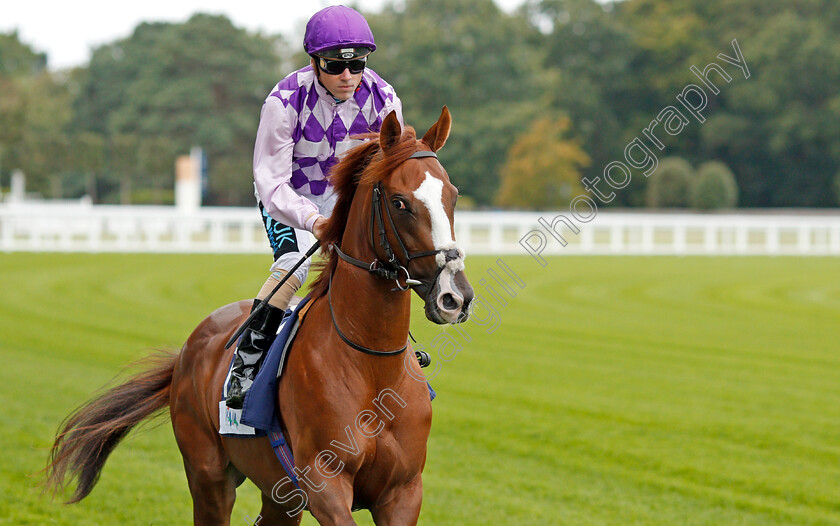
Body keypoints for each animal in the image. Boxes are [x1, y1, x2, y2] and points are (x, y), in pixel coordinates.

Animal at [47, 108, 472, 526]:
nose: (456, 296)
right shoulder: (324, 483)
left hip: (279, 494)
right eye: (400, 203)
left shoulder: (402, 492)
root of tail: (189, 348)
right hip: (208, 477)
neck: (372, 368)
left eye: (452, 195)